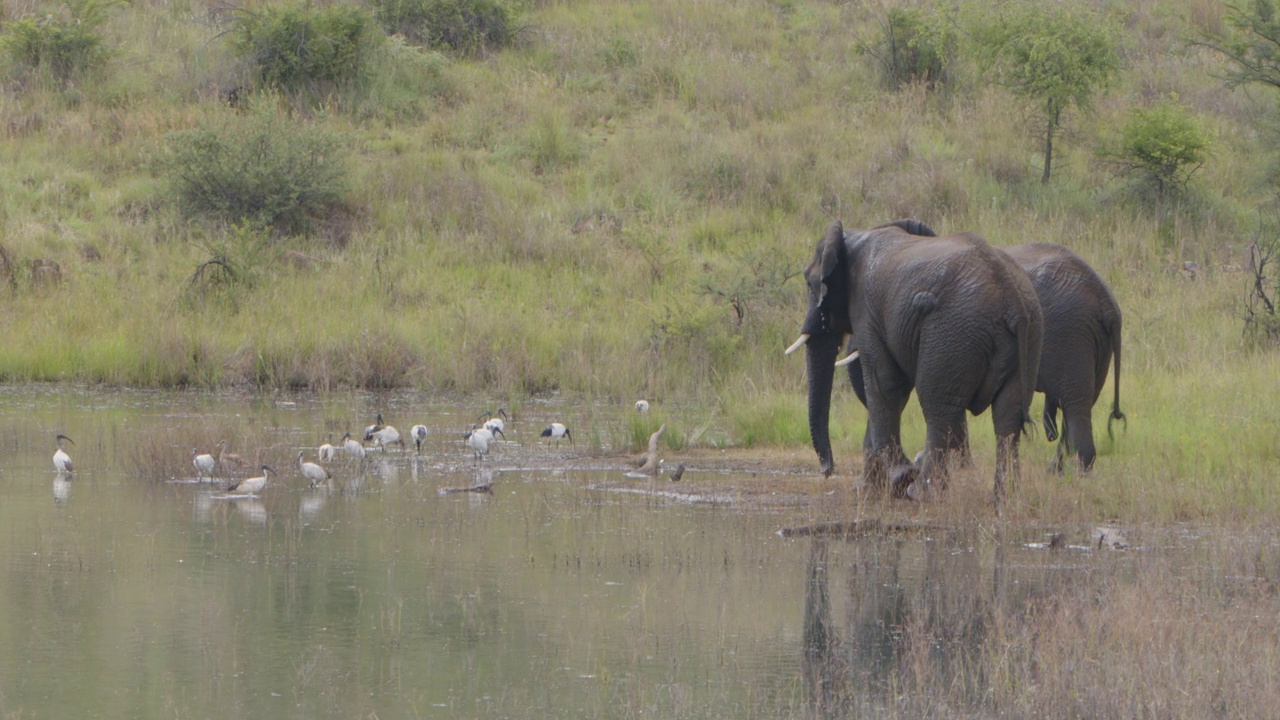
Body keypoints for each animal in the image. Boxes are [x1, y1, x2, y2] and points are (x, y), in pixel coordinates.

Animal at [783, 219, 1044, 499]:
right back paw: (1005, 496)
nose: (827, 470)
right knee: (1008, 416)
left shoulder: (866, 311)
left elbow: (884, 384)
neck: (856, 235)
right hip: (1030, 333)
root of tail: (1010, 296)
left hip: (951, 332)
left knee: (937, 405)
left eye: (810, 283)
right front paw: (870, 488)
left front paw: (898, 478)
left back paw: (921, 492)